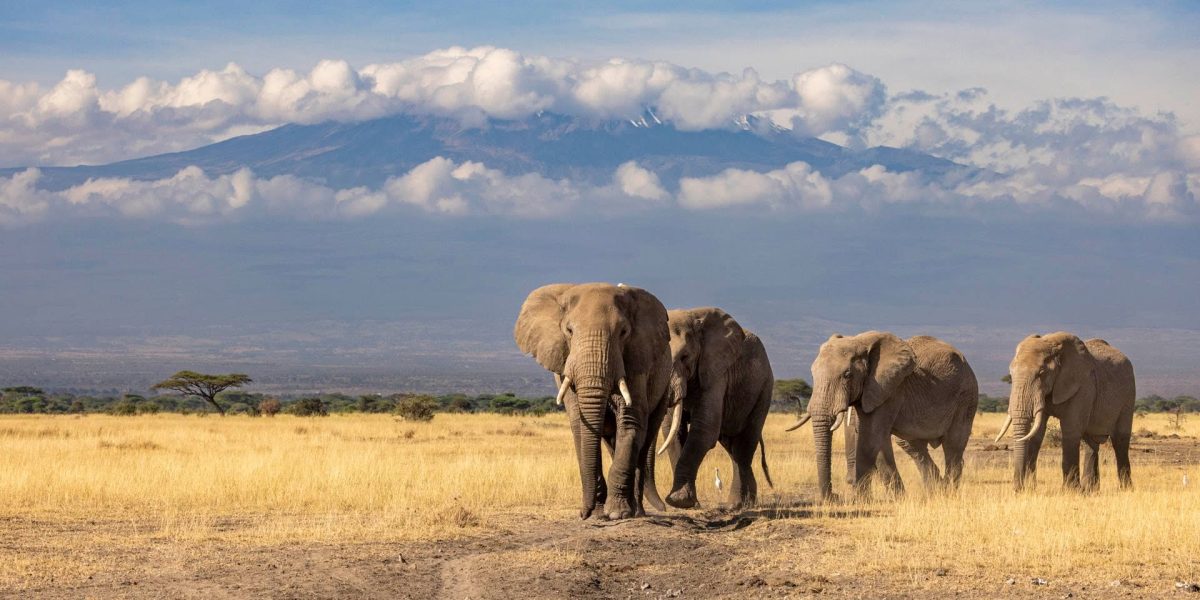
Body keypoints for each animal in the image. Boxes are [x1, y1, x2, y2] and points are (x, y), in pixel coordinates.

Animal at [514, 282, 673, 520]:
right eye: (569, 331)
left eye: (623, 332)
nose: (583, 513)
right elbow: (580, 426)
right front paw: (598, 514)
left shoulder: (635, 359)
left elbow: (630, 421)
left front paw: (617, 514)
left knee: (645, 439)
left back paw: (637, 512)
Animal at [656, 307, 774, 510]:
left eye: (685, 357)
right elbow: (673, 430)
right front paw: (685, 502)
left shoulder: (716, 371)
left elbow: (704, 429)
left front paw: (680, 502)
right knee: (731, 446)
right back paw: (739, 503)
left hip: (764, 388)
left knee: (744, 445)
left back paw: (739, 505)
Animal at [788, 332, 978, 500]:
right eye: (812, 373)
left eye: (847, 375)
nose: (833, 496)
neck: (859, 341)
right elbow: (866, 436)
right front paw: (895, 498)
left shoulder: (889, 389)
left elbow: (871, 437)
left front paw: (863, 500)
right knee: (913, 445)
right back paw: (934, 492)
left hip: (966, 397)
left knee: (953, 446)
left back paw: (947, 494)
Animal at [994, 333, 1135, 492]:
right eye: (1010, 374)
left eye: (1041, 373)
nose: (1018, 489)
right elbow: (1038, 432)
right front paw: (1031, 488)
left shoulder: (1083, 386)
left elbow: (1070, 429)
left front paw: (1071, 491)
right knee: (1090, 442)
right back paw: (1090, 490)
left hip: (1128, 395)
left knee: (1120, 440)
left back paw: (1125, 489)